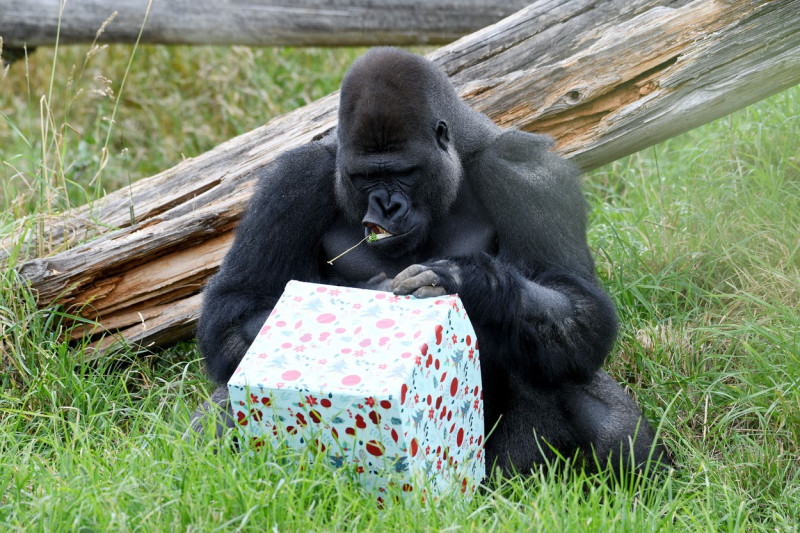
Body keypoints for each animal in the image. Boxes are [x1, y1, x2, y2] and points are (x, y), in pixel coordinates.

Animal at [192, 47, 668, 476]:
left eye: (404, 172)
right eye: (365, 177)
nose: (386, 206)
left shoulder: (526, 170)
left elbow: (581, 306)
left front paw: (471, 284)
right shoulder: (292, 179)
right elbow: (235, 310)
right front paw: (364, 292)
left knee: (582, 388)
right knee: (224, 402)